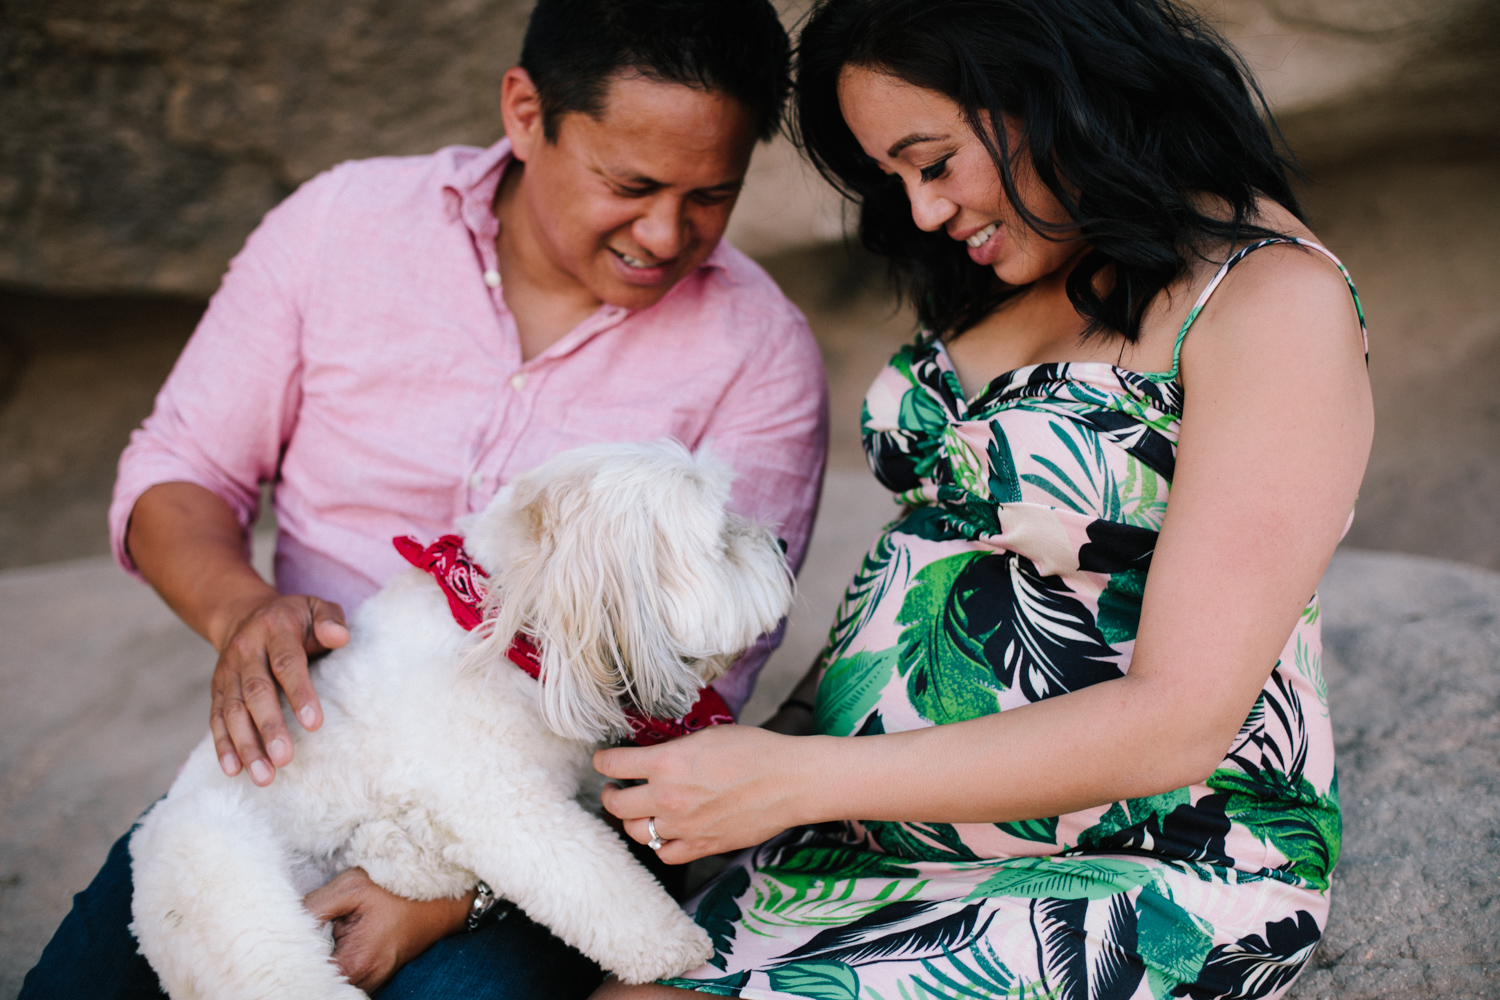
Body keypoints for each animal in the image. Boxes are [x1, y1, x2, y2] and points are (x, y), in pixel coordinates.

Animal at [126, 446, 798, 1000]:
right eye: (722, 539)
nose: (785, 547)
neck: (500, 629)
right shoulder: (501, 799)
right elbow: (595, 874)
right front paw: (672, 944)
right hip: (246, 914)